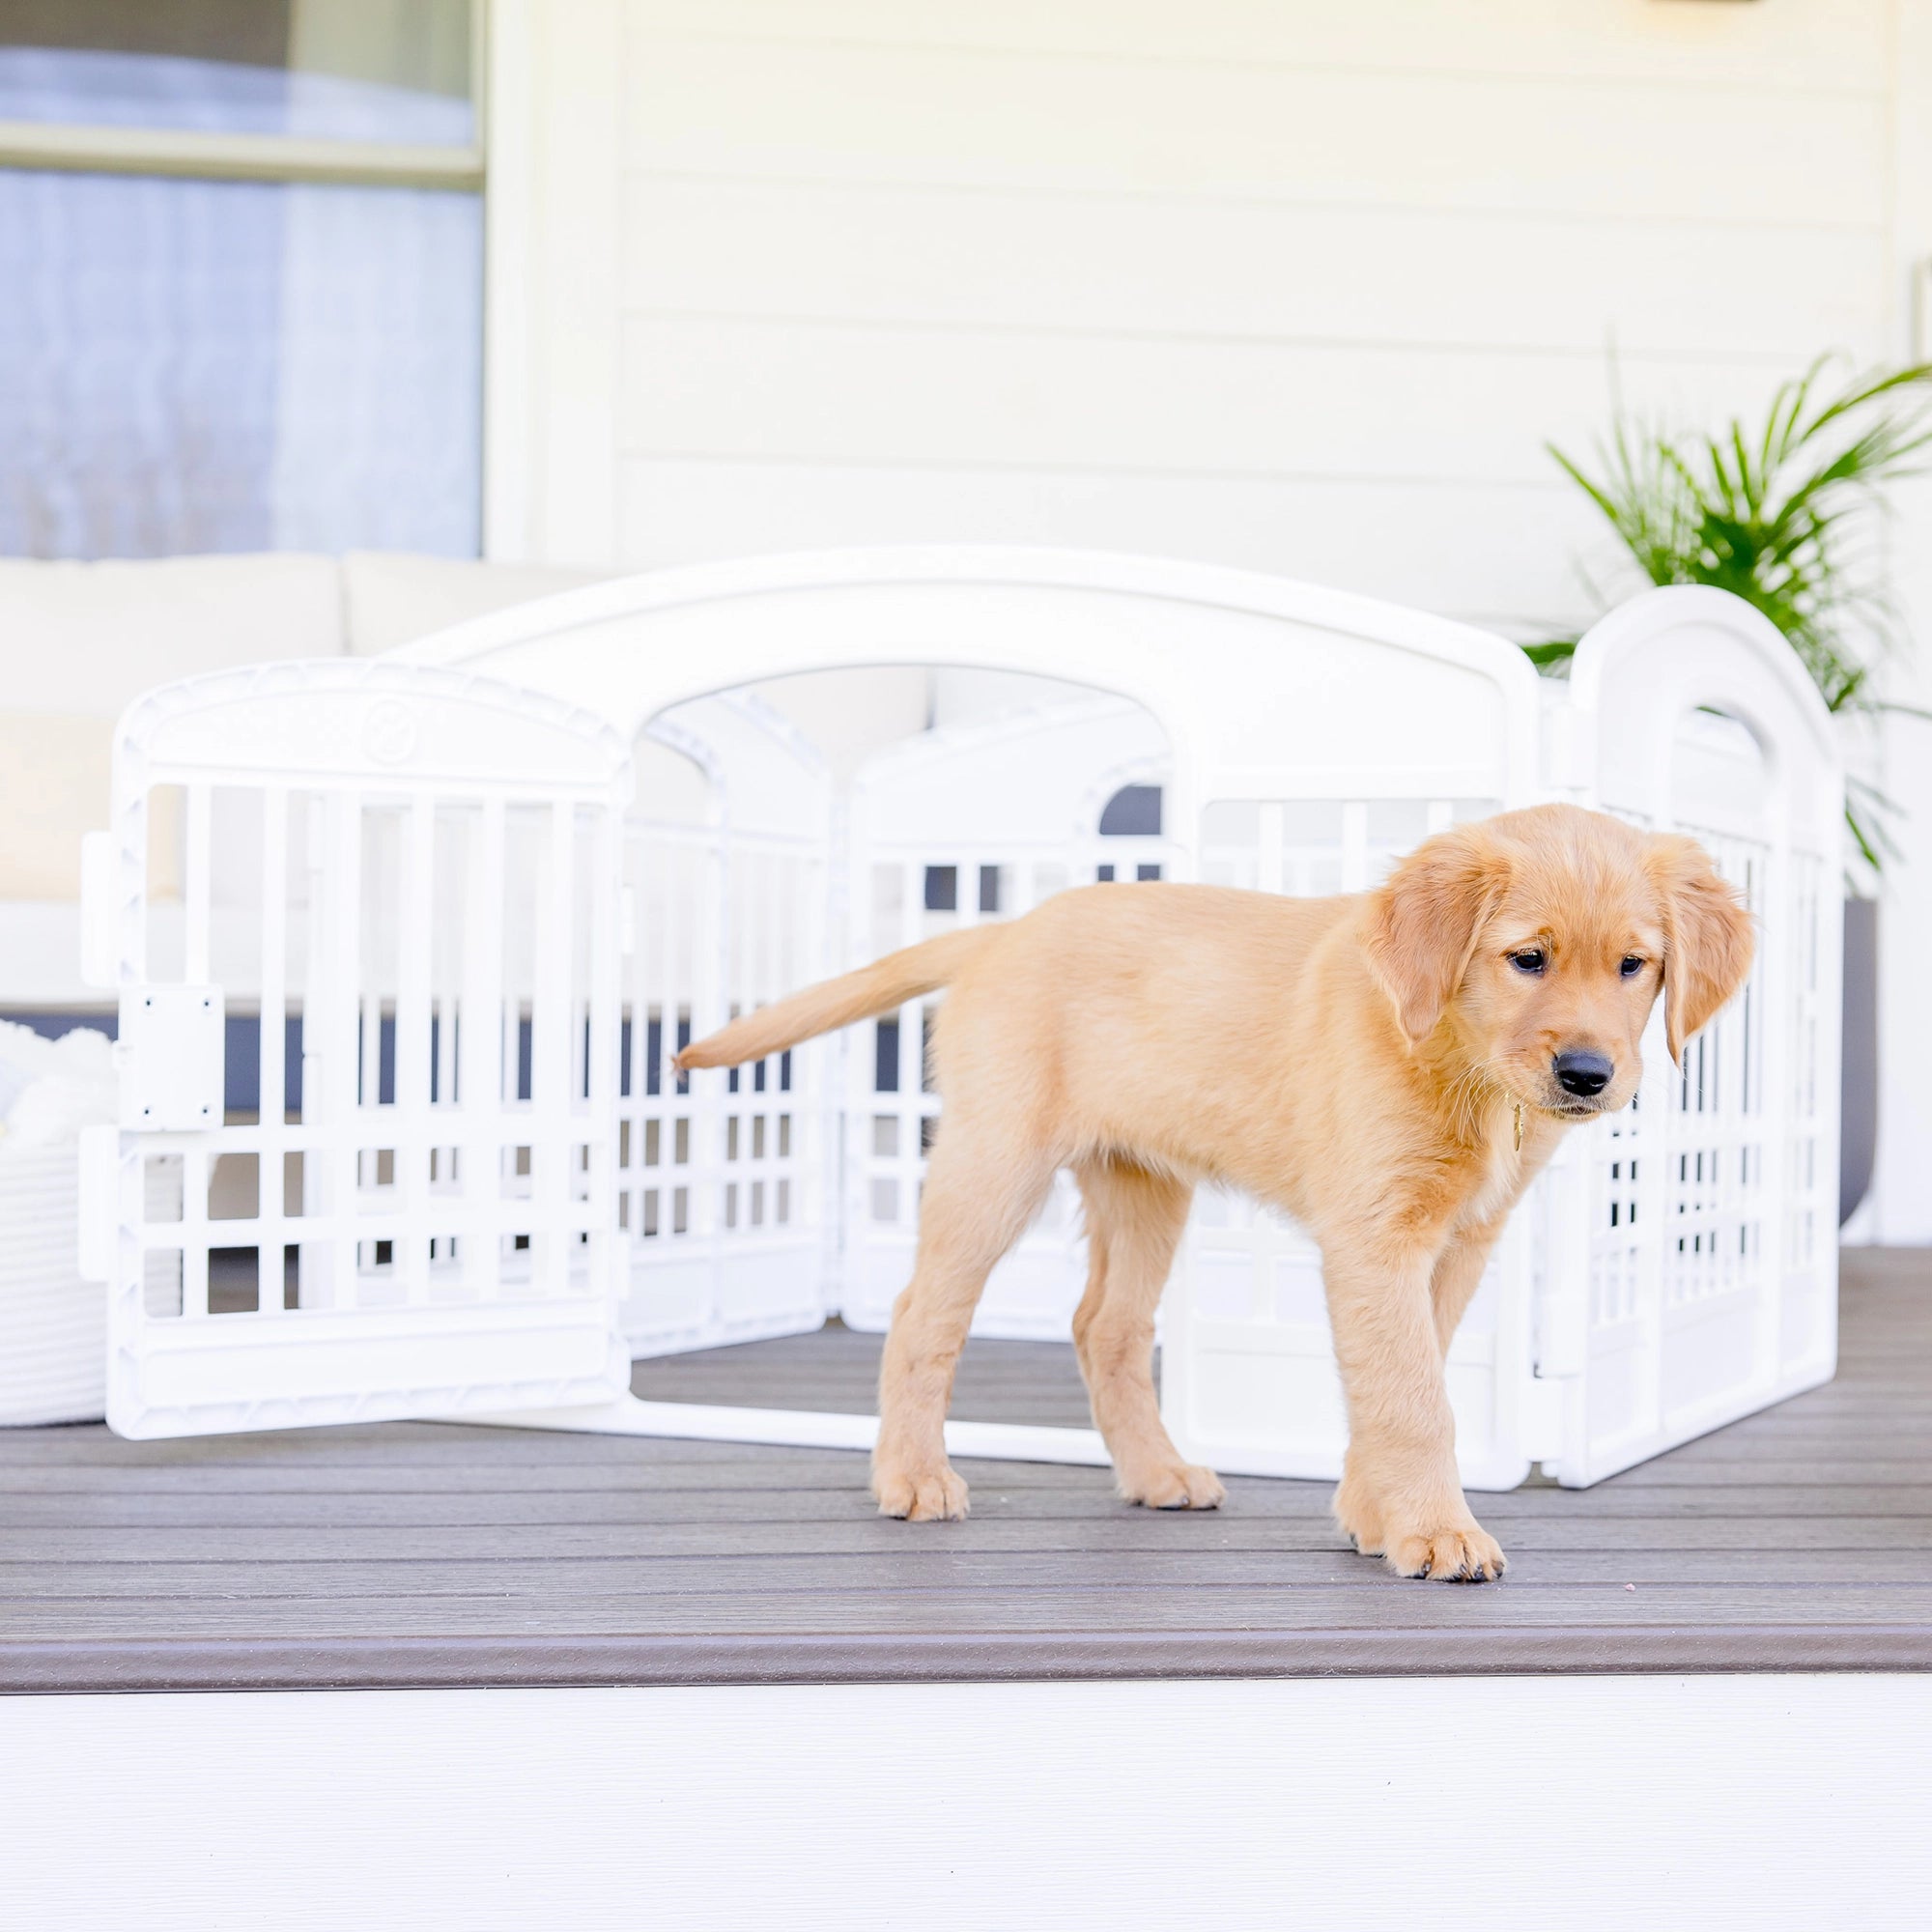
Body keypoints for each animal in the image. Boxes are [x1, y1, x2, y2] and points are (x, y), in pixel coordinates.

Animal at [676, 800, 1754, 1584]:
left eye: (1635, 965)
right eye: (1526, 957)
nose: (1588, 1074)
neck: (1454, 1055)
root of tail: (1000, 931)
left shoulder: (1455, 1244)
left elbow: (1405, 1378)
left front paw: (1374, 1516)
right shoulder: (1376, 1239)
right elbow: (1413, 1397)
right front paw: (1437, 1532)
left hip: (1144, 1184)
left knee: (1103, 1326)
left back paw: (1155, 1473)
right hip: (995, 1161)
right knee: (922, 1312)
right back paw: (912, 1475)